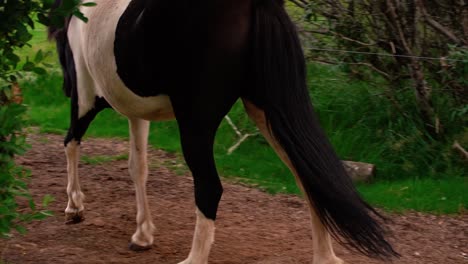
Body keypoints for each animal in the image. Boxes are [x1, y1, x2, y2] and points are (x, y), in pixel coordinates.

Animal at [47, 0, 398, 264]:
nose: (62, 86)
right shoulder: (136, 111)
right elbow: (138, 168)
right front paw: (142, 235)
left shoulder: (86, 97)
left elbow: (71, 142)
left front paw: (74, 208)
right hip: (269, 111)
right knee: (310, 176)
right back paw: (325, 257)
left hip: (196, 124)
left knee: (209, 187)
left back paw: (193, 259)